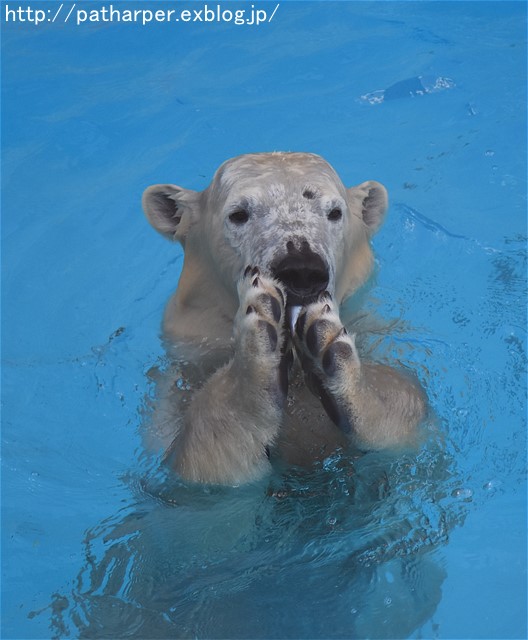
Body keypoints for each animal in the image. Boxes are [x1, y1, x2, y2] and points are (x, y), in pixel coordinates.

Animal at [141, 152, 424, 484]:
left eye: (334, 212)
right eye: (238, 214)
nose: (302, 269)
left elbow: (408, 402)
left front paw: (328, 348)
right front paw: (257, 354)